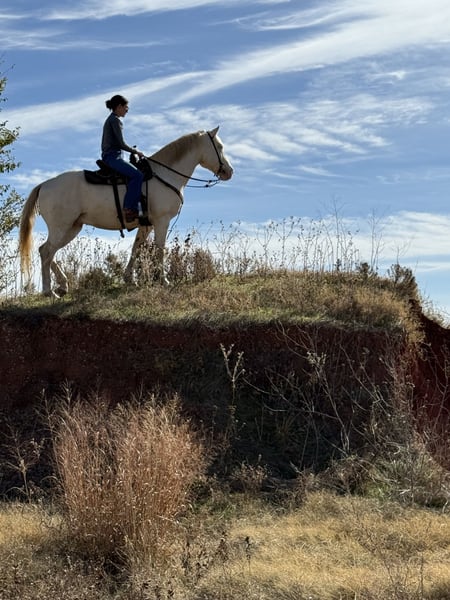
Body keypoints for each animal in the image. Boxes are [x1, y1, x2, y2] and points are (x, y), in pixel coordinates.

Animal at [19, 126, 233, 297]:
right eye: (219, 147)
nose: (229, 172)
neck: (164, 175)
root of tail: (45, 185)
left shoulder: (146, 225)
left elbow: (136, 248)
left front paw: (130, 278)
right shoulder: (161, 221)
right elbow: (160, 249)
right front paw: (163, 280)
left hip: (72, 228)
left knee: (46, 251)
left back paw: (62, 285)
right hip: (61, 227)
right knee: (47, 252)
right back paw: (49, 291)